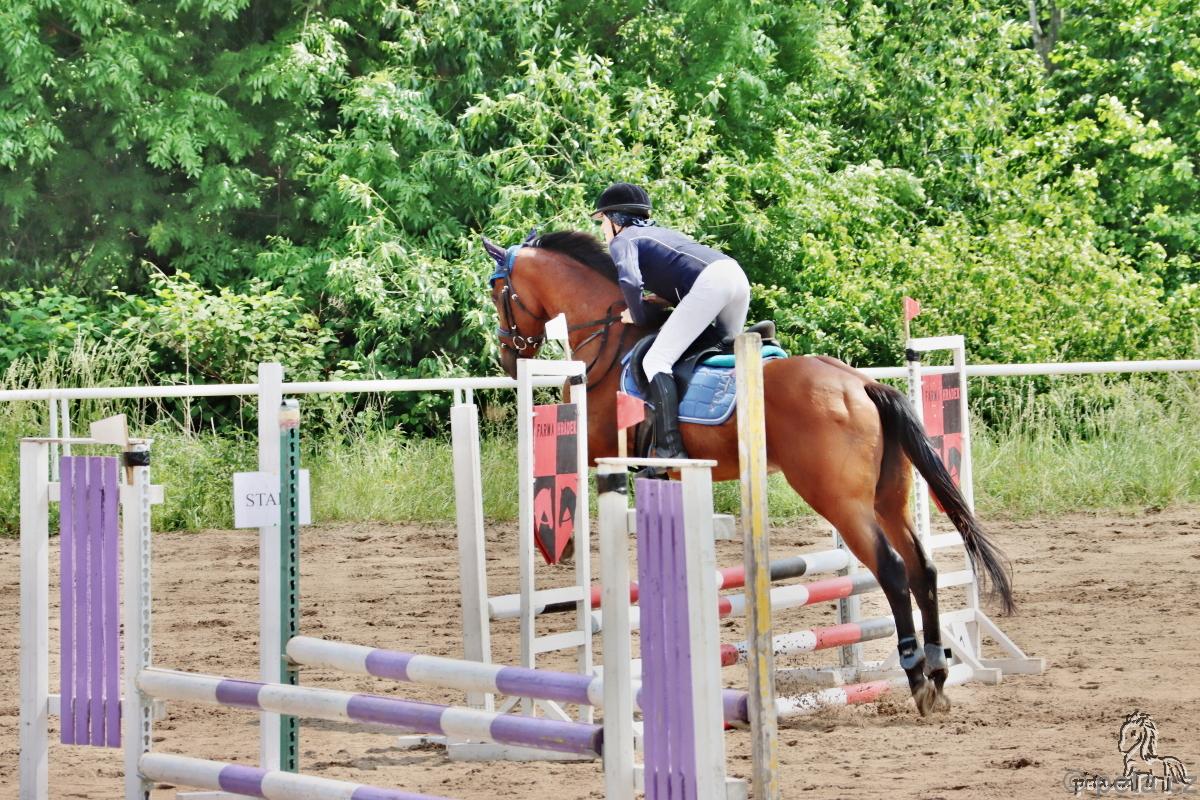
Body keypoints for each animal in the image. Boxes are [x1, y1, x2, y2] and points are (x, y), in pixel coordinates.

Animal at [482, 229, 1015, 716]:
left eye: (497, 292)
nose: (509, 358)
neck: (607, 343)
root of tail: (863, 386)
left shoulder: (597, 447)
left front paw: (563, 540)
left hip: (839, 500)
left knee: (892, 568)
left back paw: (916, 675)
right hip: (888, 497)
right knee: (923, 567)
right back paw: (940, 672)